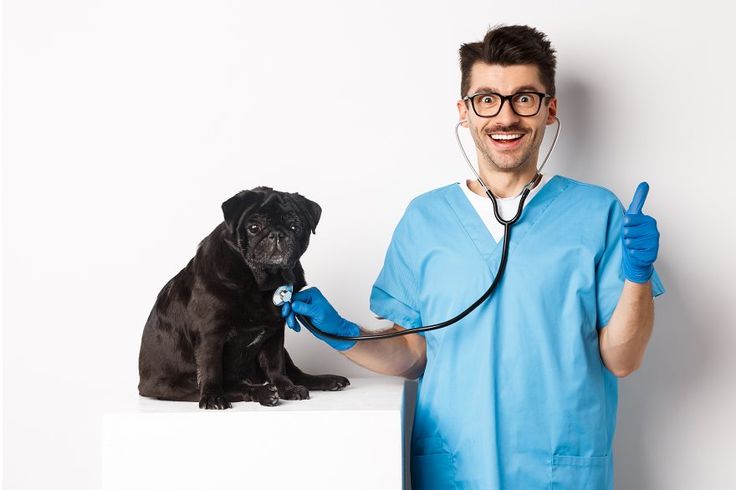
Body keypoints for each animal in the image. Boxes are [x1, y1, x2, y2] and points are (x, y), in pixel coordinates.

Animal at [139, 188, 350, 410]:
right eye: (254, 228)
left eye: (295, 227)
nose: (277, 234)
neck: (259, 283)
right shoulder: (210, 335)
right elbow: (211, 369)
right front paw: (212, 397)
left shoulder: (275, 333)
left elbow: (276, 366)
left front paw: (287, 388)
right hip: (176, 385)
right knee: (230, 386)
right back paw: (262, 393)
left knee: (294, 373)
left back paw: (323, 381)